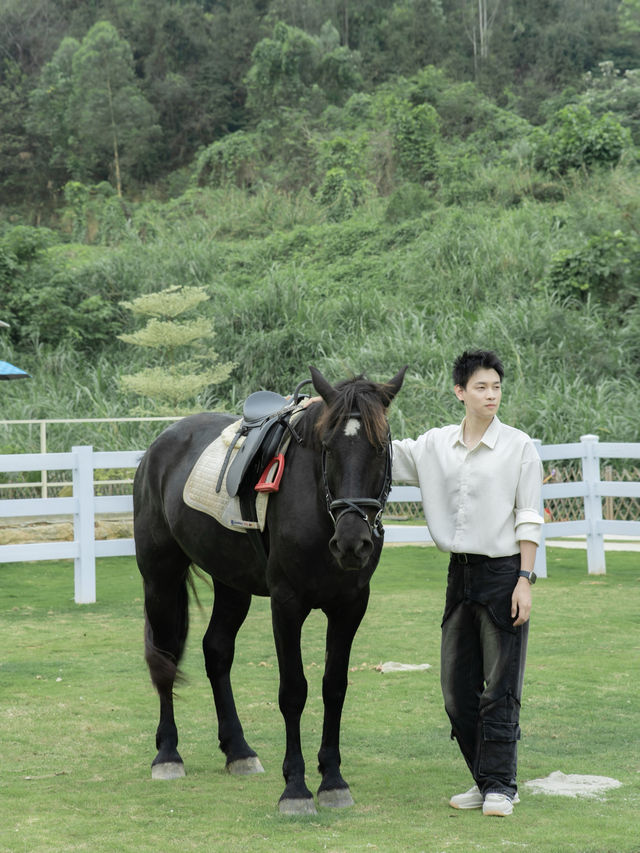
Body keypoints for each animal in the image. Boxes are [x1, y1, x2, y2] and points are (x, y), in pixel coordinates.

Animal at [133, 364, 408, 812]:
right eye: (328, 447)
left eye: (381, 446)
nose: (352, 543)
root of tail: (162, 443)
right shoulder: (287, 604)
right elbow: (293, 691)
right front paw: (295, 787)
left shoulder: (350, 606)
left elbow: (334, 687)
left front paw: (333, 780)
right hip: (160, 576)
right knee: (165, 655)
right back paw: (168, 754)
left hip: (231, 584)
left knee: (216, 650)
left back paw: (238, 750)